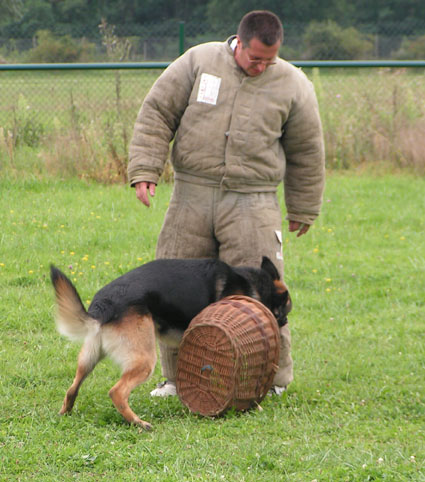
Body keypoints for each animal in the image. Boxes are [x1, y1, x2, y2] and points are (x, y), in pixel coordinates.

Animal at [48, 256, 288, 430]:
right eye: (286, 308)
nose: (284, 322)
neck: (254, 285)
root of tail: (102, 307)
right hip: (145, 360)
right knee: (117, 392)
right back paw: (138, 423)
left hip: (89, 358)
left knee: (72, 388)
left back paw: (65, 413)